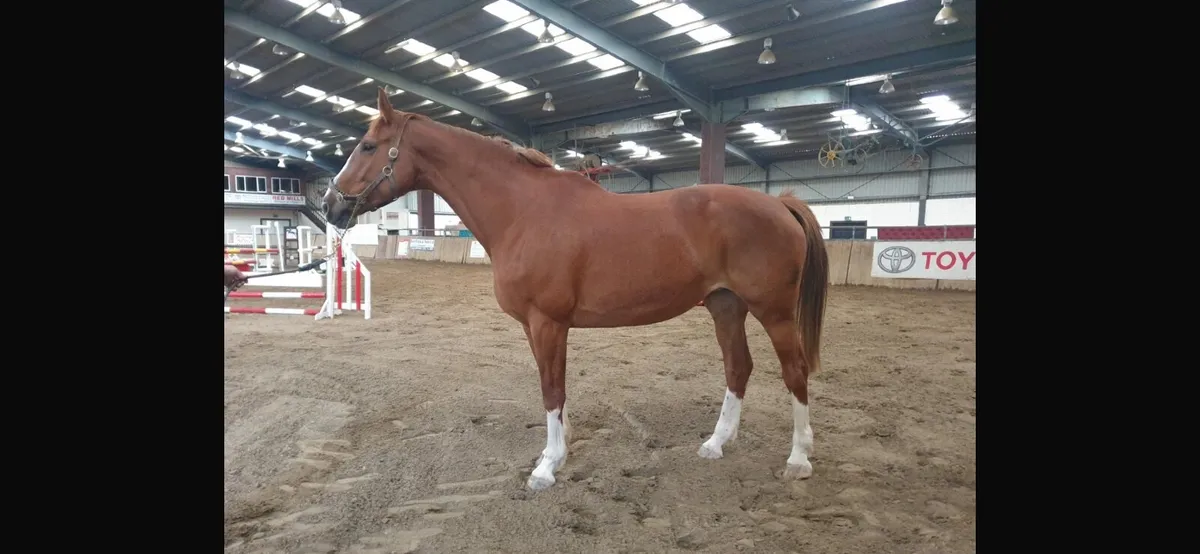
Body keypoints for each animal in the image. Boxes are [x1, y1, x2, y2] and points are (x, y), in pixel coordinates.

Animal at [323, 88, 829, 491]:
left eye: (368, 146)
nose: (329, 204)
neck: (522, 210)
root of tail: (781, 203)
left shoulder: (548, 323)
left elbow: (552, 389)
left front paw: (547, 466)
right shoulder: (534, 326)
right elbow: (554, 390)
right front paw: (560, 450)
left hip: (774, 312)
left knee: (795, 372)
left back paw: (799, 459)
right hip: (726, 306)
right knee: (738, 367)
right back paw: (716, 443)